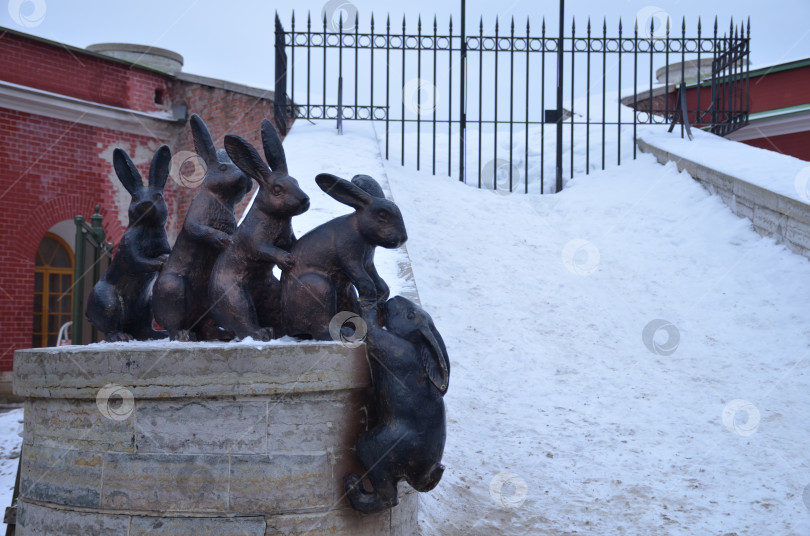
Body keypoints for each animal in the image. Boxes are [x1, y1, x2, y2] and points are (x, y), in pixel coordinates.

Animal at [86, 144, 171, 342]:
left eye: (158, 196)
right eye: (134, 197)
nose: (146, 204)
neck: (148, 226)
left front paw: (165, 258)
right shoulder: (128, 248)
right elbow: (138, 261)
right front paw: (161, 261)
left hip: (147, 306)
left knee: (143, 330)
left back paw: (159, 334)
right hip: (108, 303)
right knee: (110, 328)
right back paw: (121, 337)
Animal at [152, 115, 251, 342]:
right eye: (223, 168)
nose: (246, 179)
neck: (221, 198)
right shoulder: (197, 215)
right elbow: (198, 230)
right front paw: (223, 240)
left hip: (208, 304)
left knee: (205, 327)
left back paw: (222, 335)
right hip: (173, 290)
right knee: (172, 324)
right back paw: (183, 335)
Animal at [208, 120, 310, 342]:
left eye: (296, 182)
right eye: (277, 189)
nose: (305, 200)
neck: (275, 217)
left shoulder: (287, 238)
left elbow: (291, 243)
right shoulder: (254, 241)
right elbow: (265, 249)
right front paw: (287, 260)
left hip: (270, 295)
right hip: (235, 298)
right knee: (243, 322)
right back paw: (261, 333)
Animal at [280, 174, 408, 340]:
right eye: (382, 215)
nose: (403, 238)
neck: (359, 230)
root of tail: (288, 328)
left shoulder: (368, 263)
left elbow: (380, 283)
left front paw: (381, 298)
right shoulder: (350, 259)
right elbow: (367, 282)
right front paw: (371, 300)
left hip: (346, 292)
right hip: (319, 287)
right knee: (322, 330)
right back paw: (348, 333)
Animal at [342, 296, 448, 512]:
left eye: (410, 315)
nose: (395, 298)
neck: (412, 343)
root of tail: (423, 474)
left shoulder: (390, 345)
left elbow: (371, 327)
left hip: (372, 447)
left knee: (388, 497)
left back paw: (353, 488)